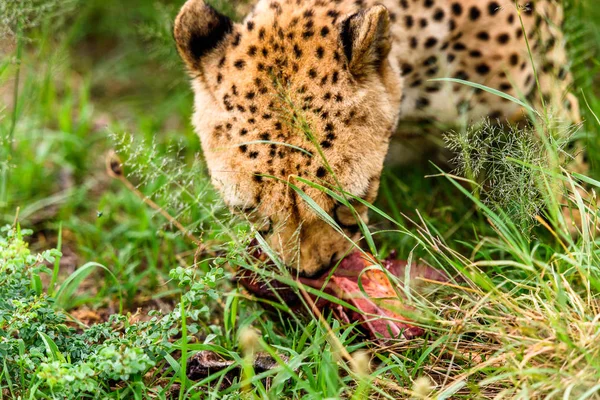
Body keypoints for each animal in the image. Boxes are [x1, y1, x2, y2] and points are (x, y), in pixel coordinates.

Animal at [172, 0, 580, 276]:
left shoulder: (547, 94)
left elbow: (566, 177)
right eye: (251, 212)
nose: (312, 272)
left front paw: (574, 246)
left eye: (344, 204)